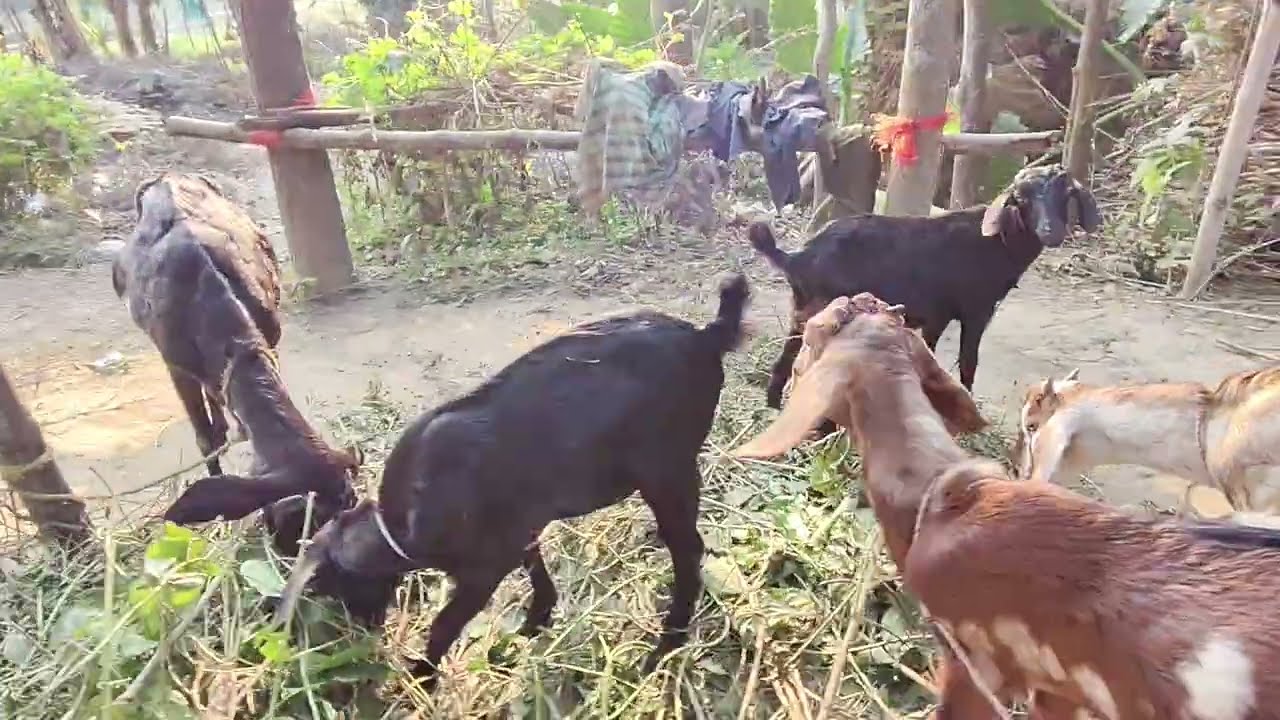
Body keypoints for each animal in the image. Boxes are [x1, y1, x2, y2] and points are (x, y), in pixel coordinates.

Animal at [268, 275, 751, 688]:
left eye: (340, 588)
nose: (365, 637)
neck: (405, 522)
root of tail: (707, 336)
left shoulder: (485, 565)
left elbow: (445, 624)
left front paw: (421, 678)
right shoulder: (521, 526)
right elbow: (533, 561)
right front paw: (537, 620)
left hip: (667, 468)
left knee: (688, 548)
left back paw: (666, 643)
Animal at [748, 164, 1100, 409]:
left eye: (1065, 195)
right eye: (1022, 199)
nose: (1051, 231)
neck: (997, 244)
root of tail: (799, 257)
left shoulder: (937, 315)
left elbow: (930, 353)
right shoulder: (976, 311)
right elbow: (968, 362)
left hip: (801, 309)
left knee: (786, 357)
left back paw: (773, 406)